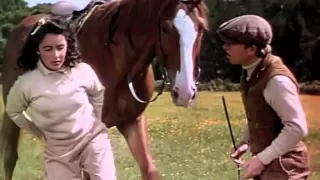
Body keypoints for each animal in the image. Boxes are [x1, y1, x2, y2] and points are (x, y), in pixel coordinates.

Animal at [0, 0, 209, 179]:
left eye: (201, 28)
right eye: (165, 28)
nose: (185, 92)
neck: (120, 58)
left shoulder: (132, 121)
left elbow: (149, 171)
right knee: (10, 158)